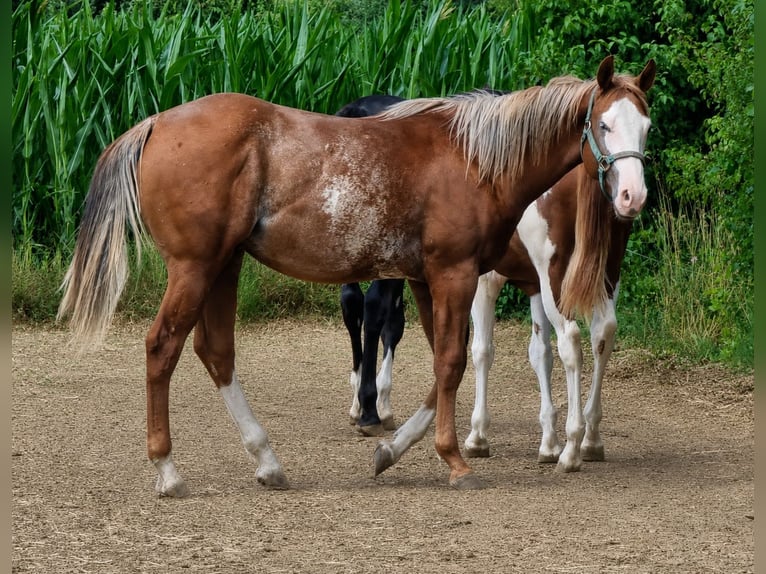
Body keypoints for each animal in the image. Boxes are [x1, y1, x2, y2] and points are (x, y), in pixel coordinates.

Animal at [465, 164, 636, 473]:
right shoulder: (535, 286)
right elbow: (541, 354)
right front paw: (548, 443)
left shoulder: (486, 280)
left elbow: (482, 351)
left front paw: (477, 436)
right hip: (607, 273)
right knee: (603, 333)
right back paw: (591, 440)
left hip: (556, 279)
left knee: (572, 341)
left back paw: (574, 446)